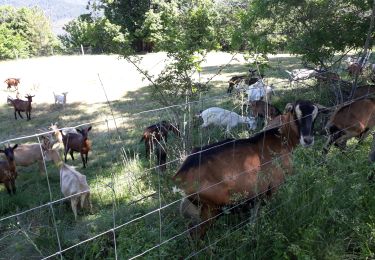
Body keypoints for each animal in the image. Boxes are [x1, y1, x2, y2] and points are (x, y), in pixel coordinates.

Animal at [174, 100, 320, 239]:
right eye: (295, 114)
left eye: (315, 116)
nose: (308, 140)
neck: (280, 138)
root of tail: (180, 176)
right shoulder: (275, 186)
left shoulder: (258, 193)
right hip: (210, 210)